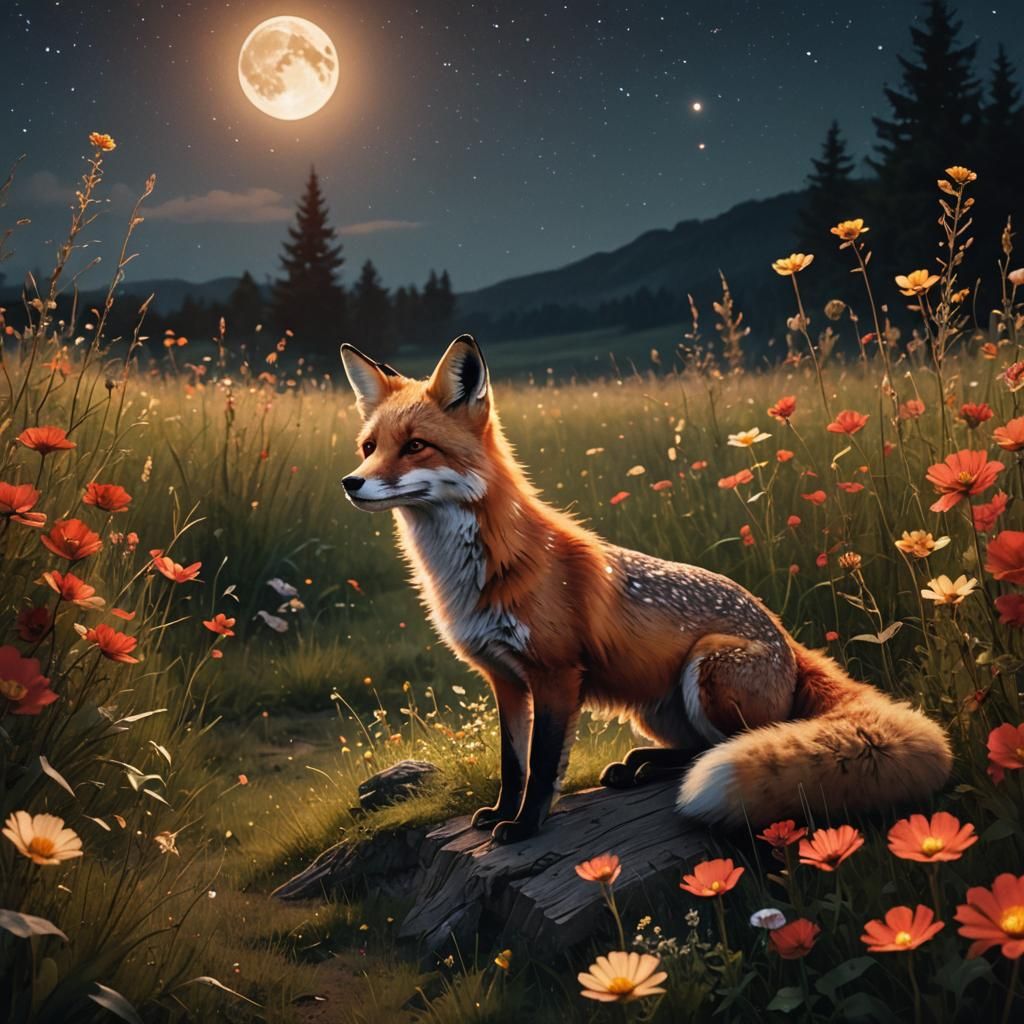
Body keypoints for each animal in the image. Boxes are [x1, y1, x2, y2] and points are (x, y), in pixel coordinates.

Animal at [339, 335, 952, 844]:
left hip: (707, 668)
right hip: (651, 708)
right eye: (369, 446)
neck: (481, 571)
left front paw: (526, 827)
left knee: (731, 745)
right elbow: (513, 764)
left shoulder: (557, 674)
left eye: (415, 446)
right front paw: (499, 814)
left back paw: (652, 770)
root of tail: (789, 641)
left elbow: (543, 766)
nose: (351, 482)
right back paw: (640, 766)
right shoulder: (505, 679)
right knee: (698, 747)